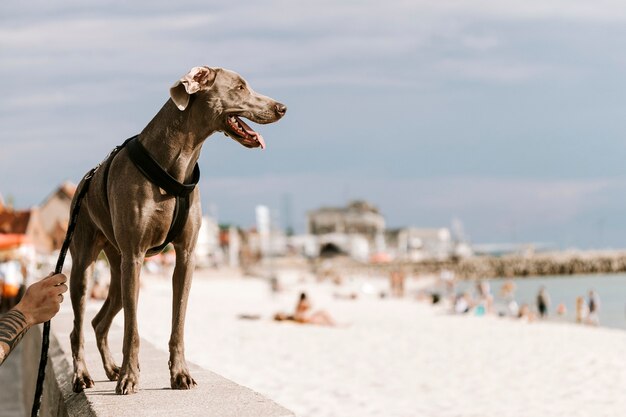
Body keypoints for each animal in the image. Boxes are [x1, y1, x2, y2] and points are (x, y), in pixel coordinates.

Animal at [68, 66, 286, 394]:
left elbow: (178, 322)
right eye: (239, 87)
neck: (175, 164)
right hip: (87, 265)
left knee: (99, 321)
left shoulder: (186, 256)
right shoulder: (135, 254)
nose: (282, 107)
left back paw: (111, 368)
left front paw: (180, 374)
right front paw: (130, 377)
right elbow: (132, 330)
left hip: (118, 267)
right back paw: (83, 375)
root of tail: (85, 180)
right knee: (78, 327)